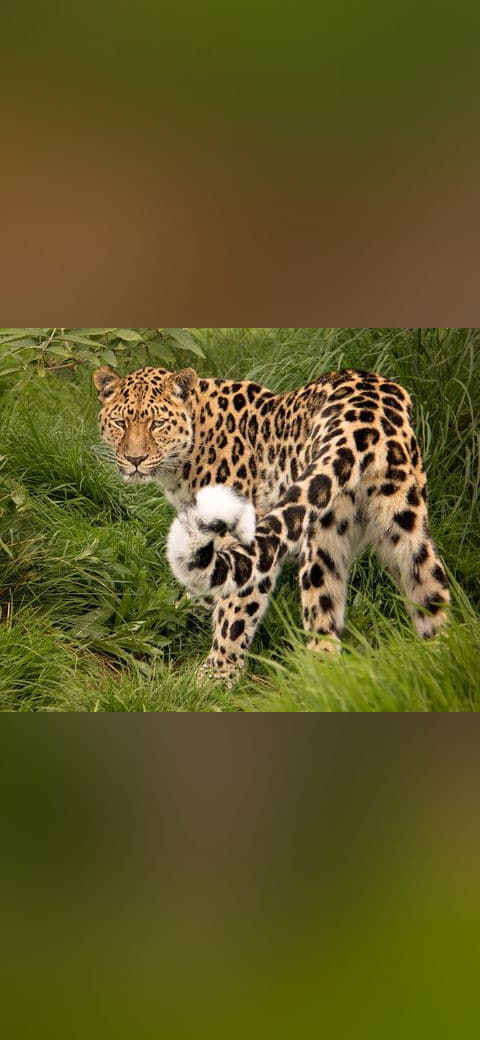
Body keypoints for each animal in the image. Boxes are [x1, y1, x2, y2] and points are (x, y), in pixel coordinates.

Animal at [94, 362, 450, 685]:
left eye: (157, 424)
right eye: (120, 423)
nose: (135, 459)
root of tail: (366, 413)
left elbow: (232, 606)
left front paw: (216, 678)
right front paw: (163, 617)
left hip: (318, 537)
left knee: (316, 624)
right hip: (404, 524)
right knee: (428, 590)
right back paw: (437, 660)